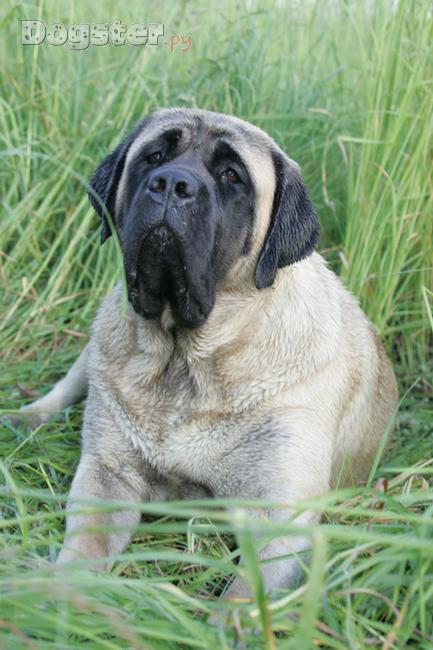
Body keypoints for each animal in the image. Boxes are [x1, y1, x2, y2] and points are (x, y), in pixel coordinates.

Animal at [11, 108, 398, 596]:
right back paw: (27, 416)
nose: (172, 183)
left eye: (232, 176)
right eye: (154, 157)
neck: (185, 360)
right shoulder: (108, 476)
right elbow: (85, 550)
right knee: (72, 381)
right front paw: (58, 596)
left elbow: (246, 596)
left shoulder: (280, 520)